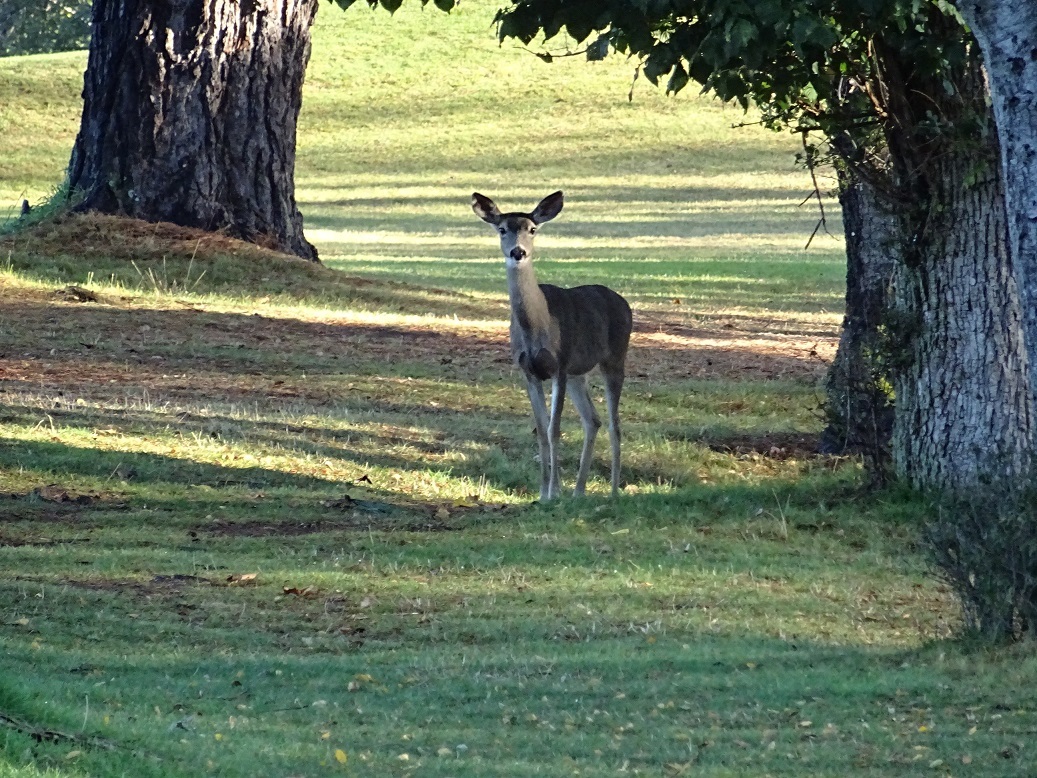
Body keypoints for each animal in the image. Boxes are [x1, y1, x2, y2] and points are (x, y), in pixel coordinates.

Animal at [472, 191, 630, 502]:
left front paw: (553, 492)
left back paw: (613, 492)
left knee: (614, 424)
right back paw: (578, 491)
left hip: (615, 358)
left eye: (533, 229)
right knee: (592, 420)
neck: (538, 326)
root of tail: (624, 302)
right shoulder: (529, 371)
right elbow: (542, 431)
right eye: (502, 229)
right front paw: (545, 492)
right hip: (579, 373)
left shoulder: (560, 364)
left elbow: (554, 428)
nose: (518, 252)